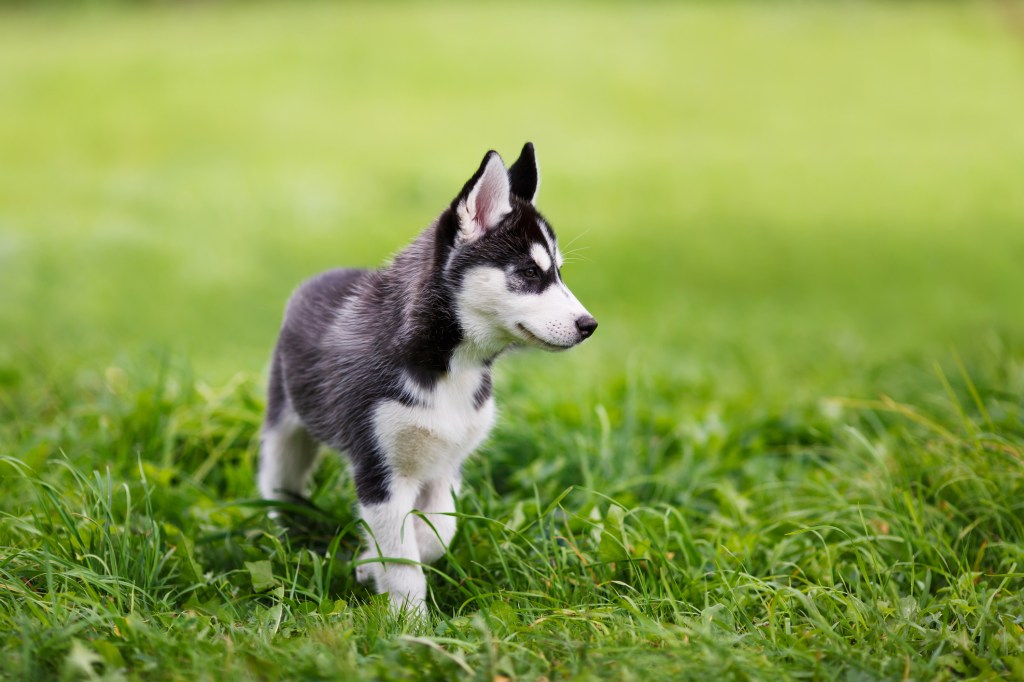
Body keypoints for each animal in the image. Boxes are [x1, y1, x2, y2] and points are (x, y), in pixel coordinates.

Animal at [260, 143, 598, 610]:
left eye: (559, 273)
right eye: (530, 273)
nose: (589, 325)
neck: (452, 368)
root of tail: (325, 274)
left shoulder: (447, 463)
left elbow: (436, 535)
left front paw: (373, 562)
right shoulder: (378, 469)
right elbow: (403, 559)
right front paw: (407, 617)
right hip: (286, 432)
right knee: (276, 482)